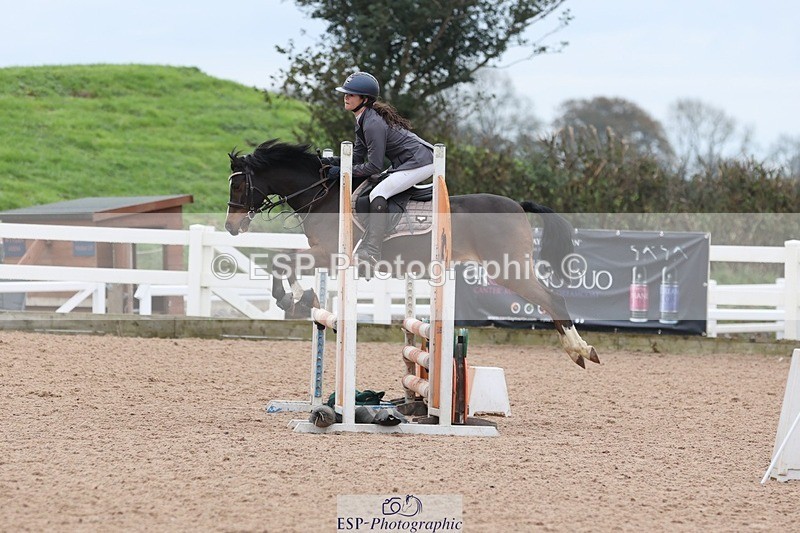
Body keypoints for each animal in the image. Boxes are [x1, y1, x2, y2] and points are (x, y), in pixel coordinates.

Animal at [224, 139, 599, 368]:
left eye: (239, 185)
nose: (230, 226)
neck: (325, 194)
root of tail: (517, 205)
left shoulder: (330, 254)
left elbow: (282, 261)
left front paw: (294, 300)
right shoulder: (322, 254)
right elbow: (284, 261)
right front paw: (304, 299)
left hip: (508, 269)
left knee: (553, 299)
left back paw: (581, 351)